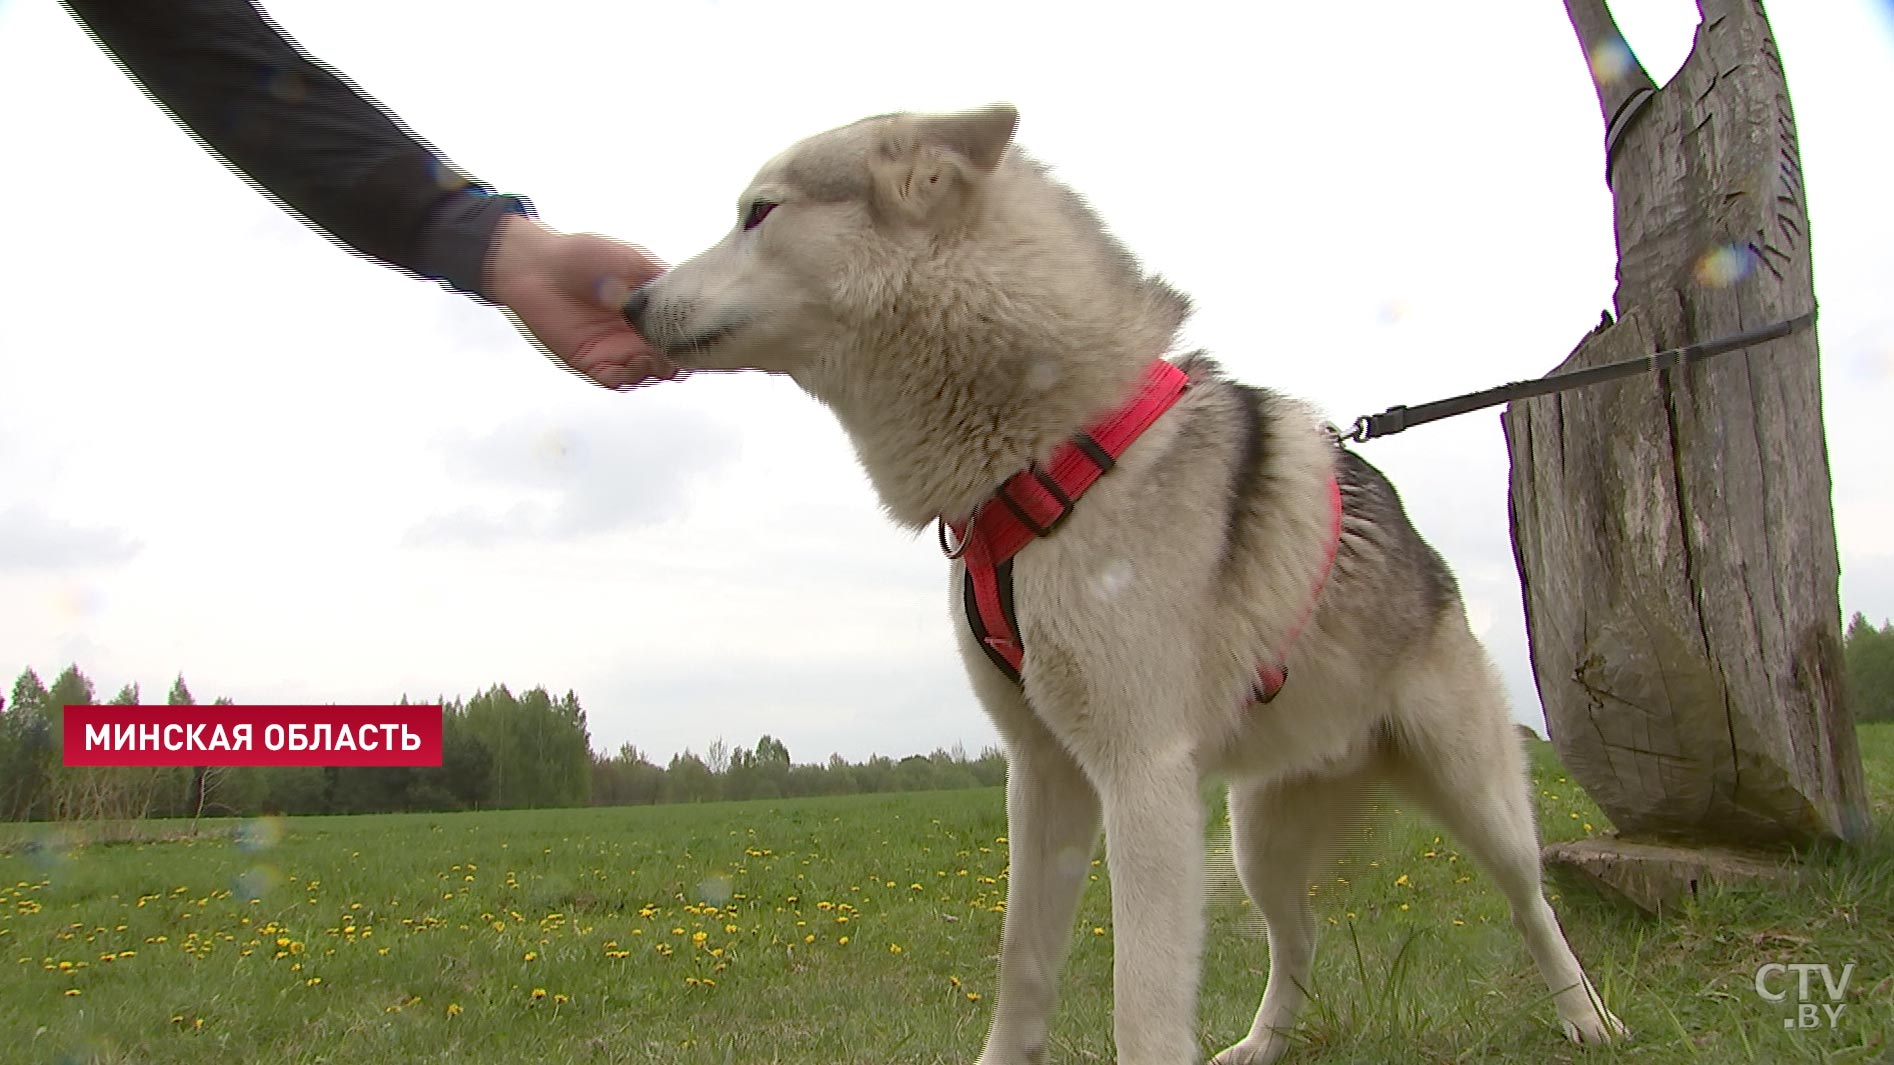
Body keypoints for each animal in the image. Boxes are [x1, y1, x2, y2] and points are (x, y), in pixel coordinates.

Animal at [625, 101, 1628, 1061]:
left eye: (759, 212)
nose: (631, 300)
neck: (1042, 463)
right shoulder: (1043, 774)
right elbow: (1022, 965)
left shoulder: (1140, 774)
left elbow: (1141, 1004)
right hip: (1259, 838)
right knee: (1296, 940)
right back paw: (1260, 1044)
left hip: (1478, 798)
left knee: (1534, 906)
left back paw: (1587, 1019)